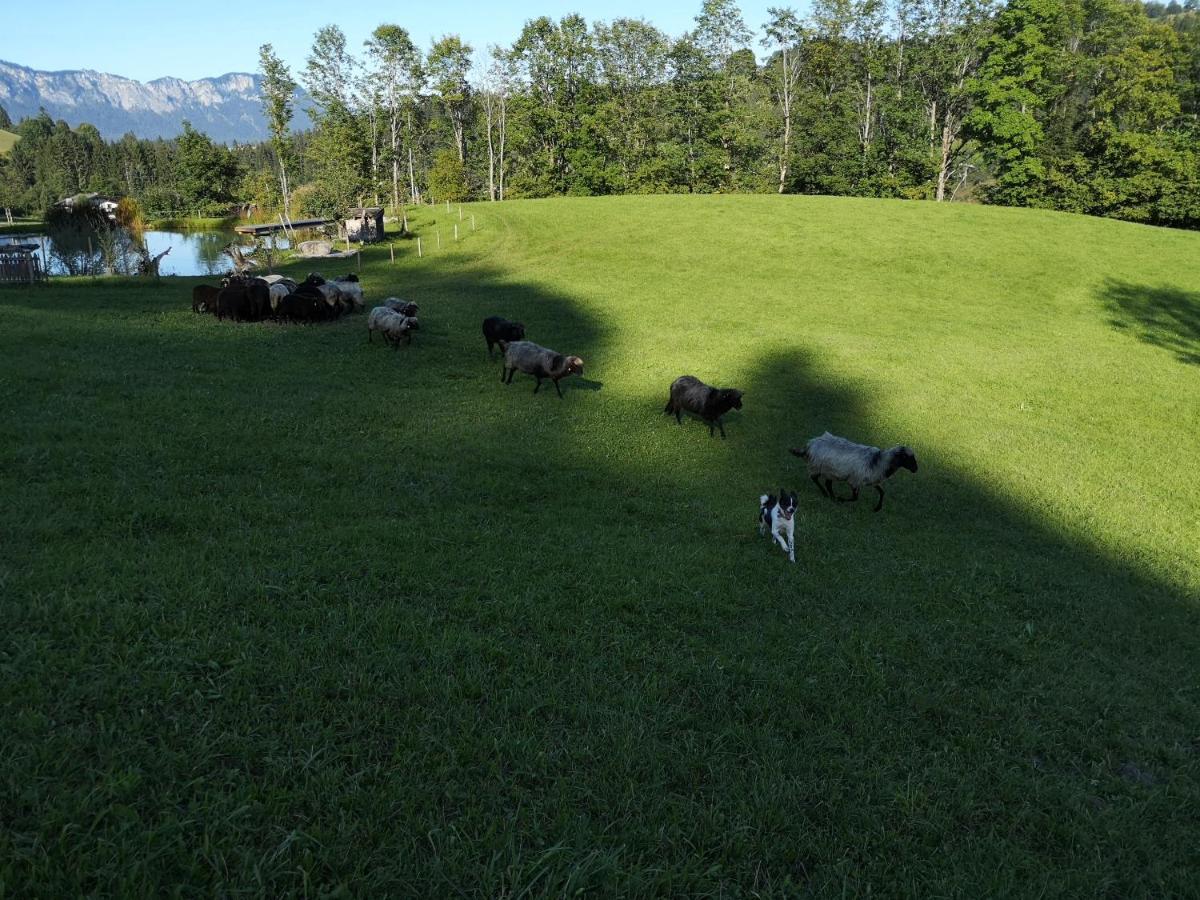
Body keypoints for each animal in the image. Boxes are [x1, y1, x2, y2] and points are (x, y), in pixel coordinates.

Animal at [787, 432, 916, 511]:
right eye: (907, 458)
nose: (916, 469)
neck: (880, 461)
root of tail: (810, 445)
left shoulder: (871, 480)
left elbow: (882, 492)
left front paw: (877, 508)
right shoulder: (854, 481)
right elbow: (855, 498)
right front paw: (841, 499)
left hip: (830, 472)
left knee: (827, 484)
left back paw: (832, 496)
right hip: (819, 467)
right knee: (815, 479)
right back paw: (827, 495)